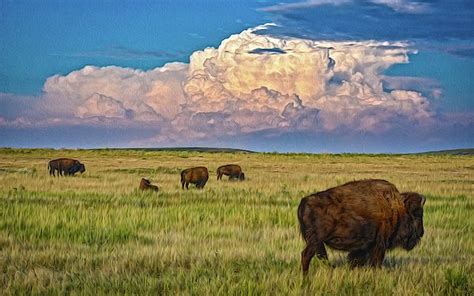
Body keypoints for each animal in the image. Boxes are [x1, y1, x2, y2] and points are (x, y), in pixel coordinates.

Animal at [296, 178, 426, 276]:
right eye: (417, 213)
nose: (421, 232)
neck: (396, 208)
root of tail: (304, 201)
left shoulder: (364, 247)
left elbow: (355, 260)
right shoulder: (379, 244)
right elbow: (375, 262)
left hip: (318, 243)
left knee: (321, 257)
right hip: (315, 241)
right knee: (306, 256)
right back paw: (305, 277)